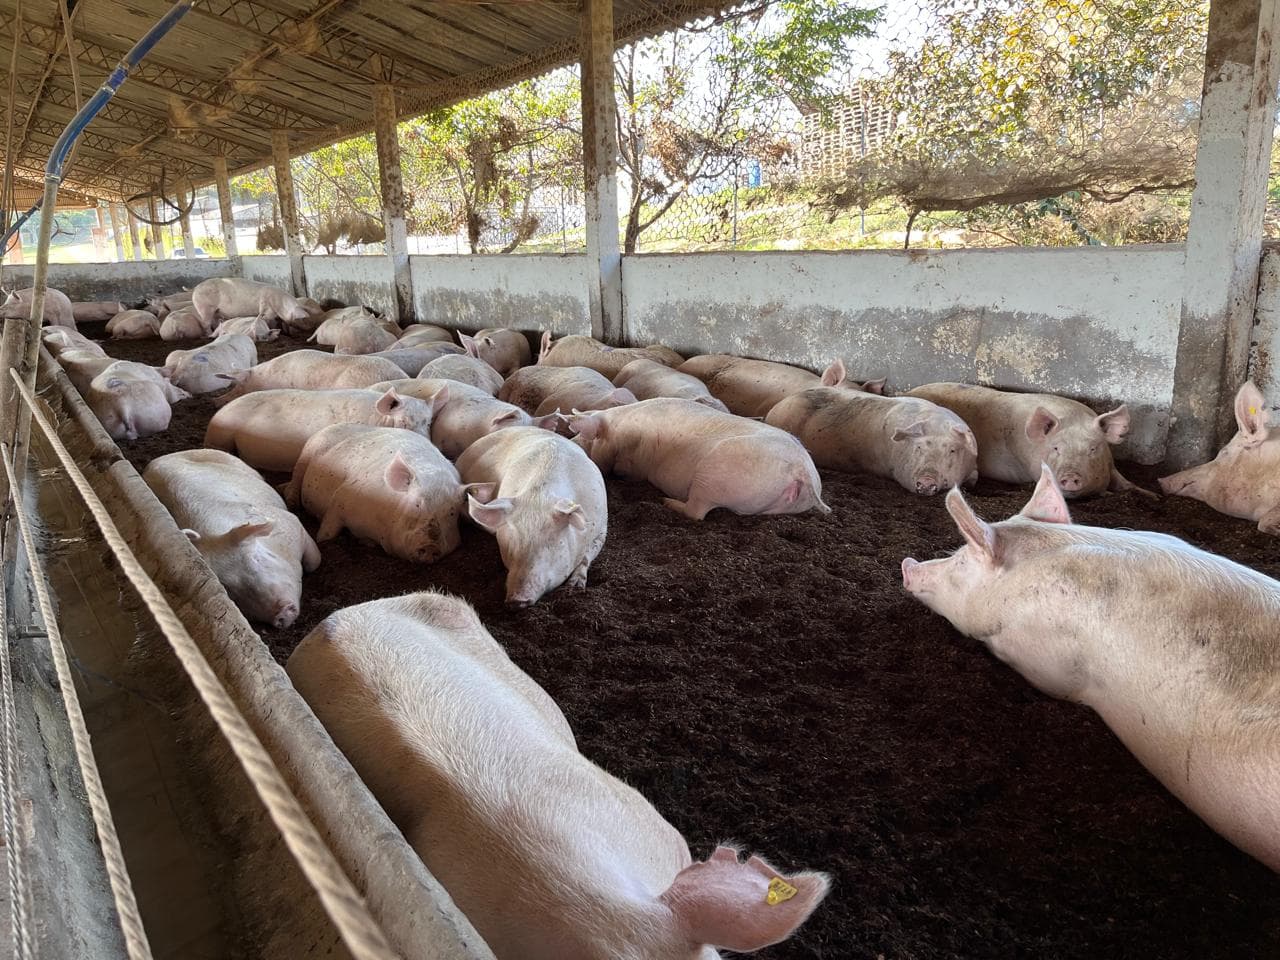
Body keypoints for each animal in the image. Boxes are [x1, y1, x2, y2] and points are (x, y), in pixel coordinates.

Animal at [283, 424, 470, 563]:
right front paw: (321, 540)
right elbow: (329, 529)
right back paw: (291, 502)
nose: (431, 546)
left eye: (452, 513)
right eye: (417, 504)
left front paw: (364, 543)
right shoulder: (342, 499)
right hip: (307, 452)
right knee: (295, 480)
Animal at [456, 427, 607, 606]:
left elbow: (587, 556)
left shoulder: (603, 527)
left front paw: (576, 585)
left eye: (551, 542)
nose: (517, 600)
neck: (539, 497)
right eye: (510, 543)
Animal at [568, 398, 829, 520]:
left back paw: (666, 502)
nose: (573, 441)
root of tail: (800, 469)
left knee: (696, 512)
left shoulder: (635, 460)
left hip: (713, 478)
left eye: (585, 436)